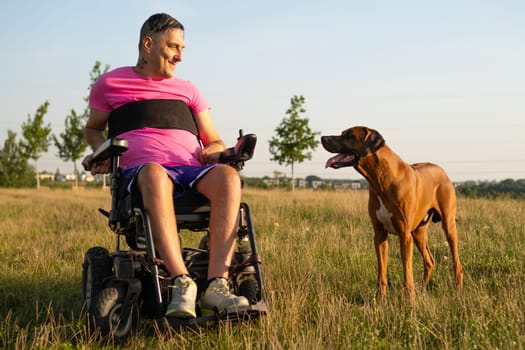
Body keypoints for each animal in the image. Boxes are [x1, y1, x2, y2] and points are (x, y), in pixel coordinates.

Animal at [320, 127, 462, 302]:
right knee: (430, 261)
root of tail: (441, 170)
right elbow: (381, 269)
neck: (380, 180)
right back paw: (422, 289)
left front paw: (409, 299)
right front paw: (381, 297)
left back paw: (457, 289)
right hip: (418, 232)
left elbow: (407, 269)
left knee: (457, 262)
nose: (322, 138)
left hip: (448, 226)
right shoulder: (379, 234)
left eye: (349, 135)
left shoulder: (404, 234)